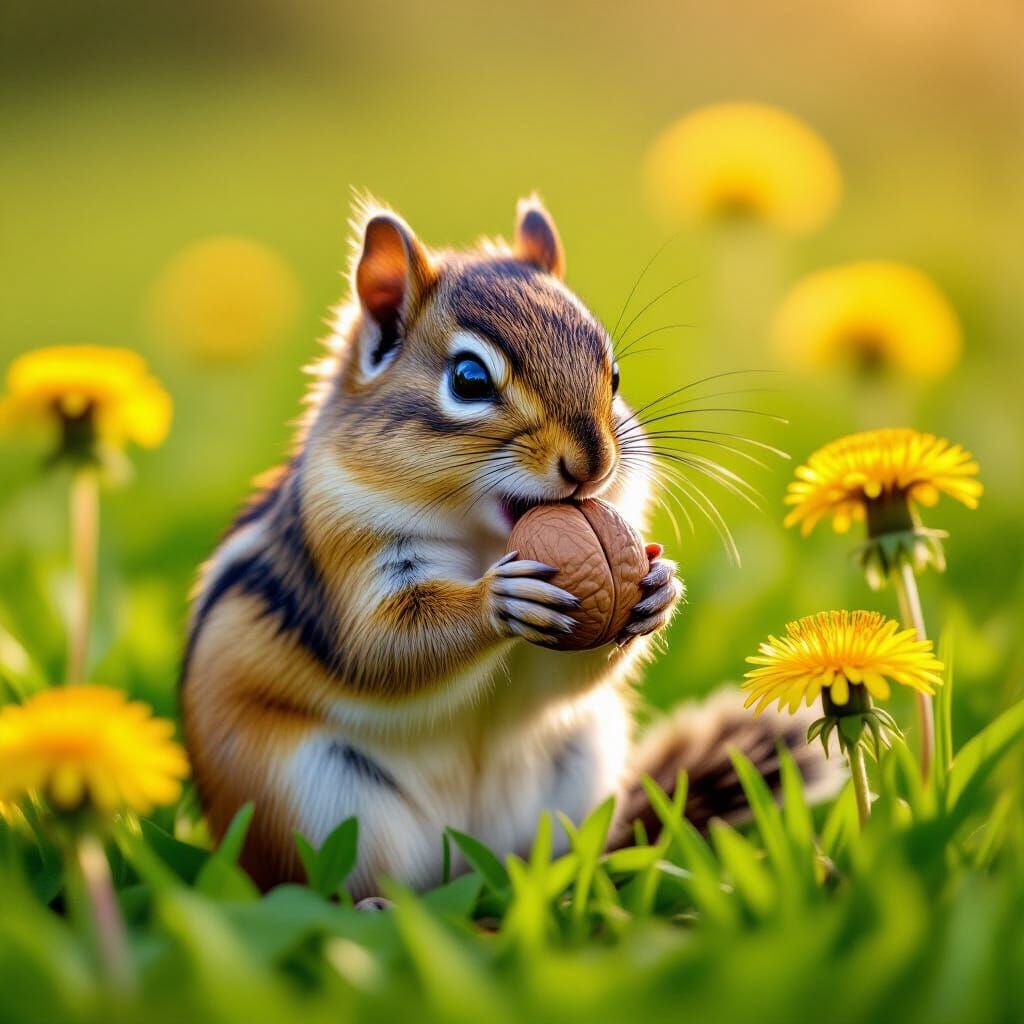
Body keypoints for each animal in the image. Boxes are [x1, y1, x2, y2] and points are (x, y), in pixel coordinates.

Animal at [181, 196, 835, 895]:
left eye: (614, 374)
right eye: (468, 378)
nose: (593, 463)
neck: (482, 538)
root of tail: (467, 864)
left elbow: (563, 678)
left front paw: (659, 590)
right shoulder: (343, 559)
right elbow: (383, 646)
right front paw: (498, 600)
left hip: (578, 768)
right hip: (314, 800)